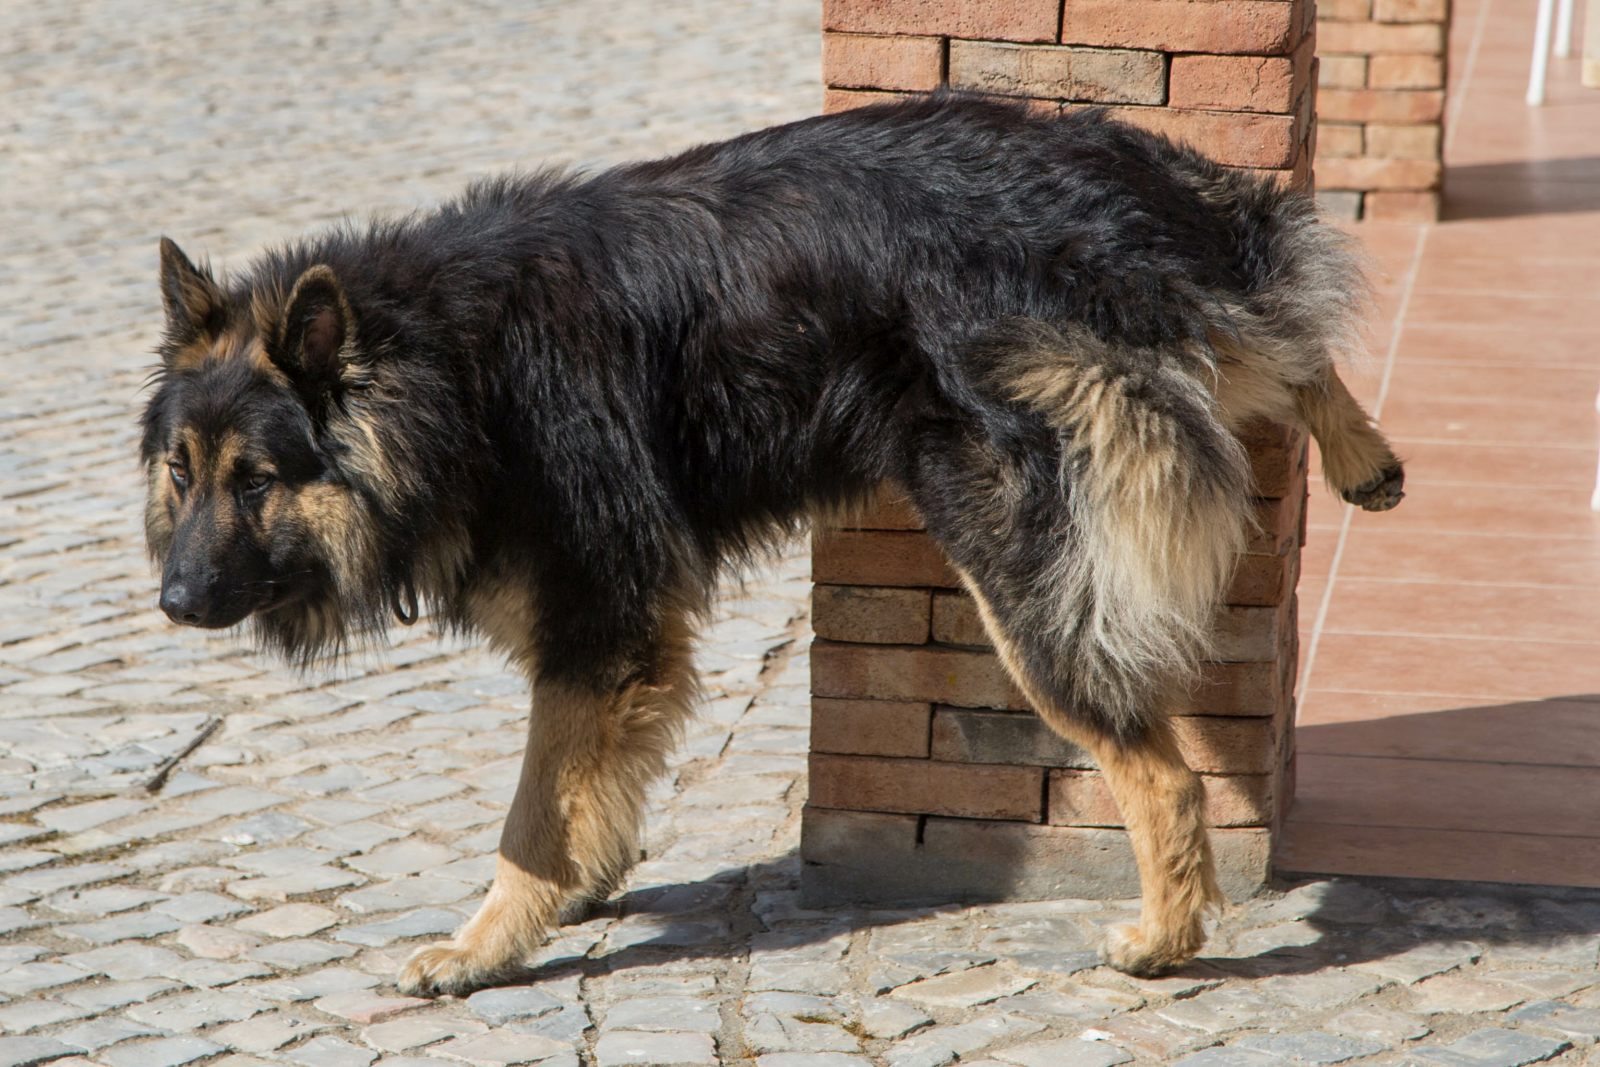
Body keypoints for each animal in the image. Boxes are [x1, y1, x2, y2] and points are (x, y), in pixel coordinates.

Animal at [144, 95, 1408, 998]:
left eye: (256, 480)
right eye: (181, 470)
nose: (173, 601)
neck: (447, 366)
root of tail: (1104, 193)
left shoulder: (596, 619)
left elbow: (531, 811)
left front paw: (488, 940)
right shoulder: (631, 638)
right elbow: (593, 783)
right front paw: (582, 885)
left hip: (1015, 562)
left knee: (1162, 769)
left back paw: (1164, 937)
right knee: (1278, 336)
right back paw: (1362, 453)